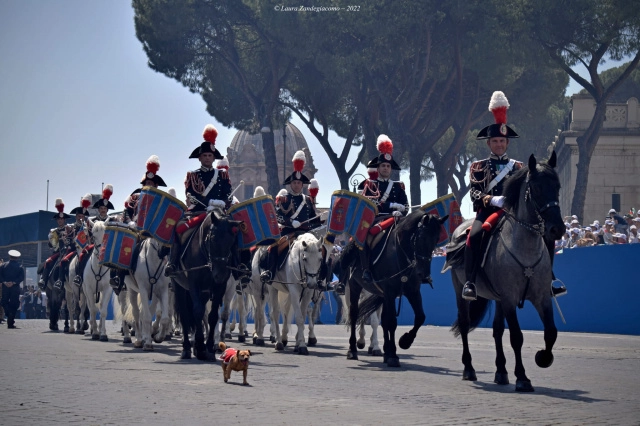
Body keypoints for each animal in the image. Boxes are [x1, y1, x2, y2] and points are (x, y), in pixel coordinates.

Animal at [171, 210, 241, 360]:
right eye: (213, 238)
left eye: (232, 241)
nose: (220, 274)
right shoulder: (193, 284)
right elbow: (197, 311)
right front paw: (200, 346)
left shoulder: (220, 287)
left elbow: (213, 316)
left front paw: (208, 348)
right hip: (180, 287)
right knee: (185, 314)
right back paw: (187, 347)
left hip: (205, 291)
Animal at [342, 210, 448, 366]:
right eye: (421, 238)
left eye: (437, 239)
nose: (423, 274)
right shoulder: (390, 292)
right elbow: (391, 322)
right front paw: (393, 355)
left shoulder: (412, 291)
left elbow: (420, 317)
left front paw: (404, 342)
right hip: (355, 286)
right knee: (354, 314)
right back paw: (353, 349)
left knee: (383, 319)